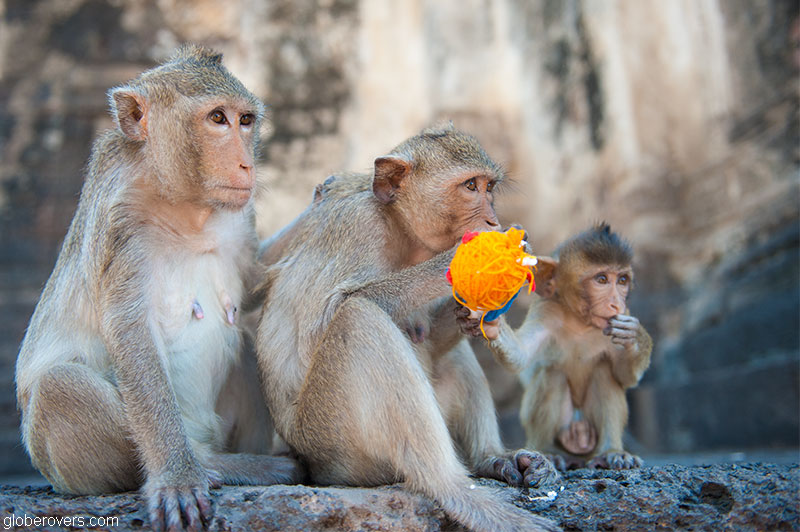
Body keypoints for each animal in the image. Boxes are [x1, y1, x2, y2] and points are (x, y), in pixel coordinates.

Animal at [14, 45, 301, 532]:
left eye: (245, 120)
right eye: (217, 118)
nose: (247, 164)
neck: (185, 207)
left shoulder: (239, 216)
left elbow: (253, 287)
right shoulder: (122, 225)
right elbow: (132, 335)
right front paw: (177, 478)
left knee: (246, 339)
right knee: (59, 384)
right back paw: (216, 466)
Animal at [255, 124, 560, 532]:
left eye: (490, 187)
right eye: (470, 186)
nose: (493, 223)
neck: (398, 227)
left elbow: (435, 336)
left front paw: (480, 315)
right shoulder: (359, 227)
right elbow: (326, 319)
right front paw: (468, 260)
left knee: (446, 356)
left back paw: (492, 457)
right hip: (332, 441)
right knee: (358, 318)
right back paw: (456, 490)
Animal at [459, 223, 652, 470]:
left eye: (622, 280)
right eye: (601, 279)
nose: (616, 303)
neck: (580, 322)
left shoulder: (622, 315)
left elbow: (627, 378)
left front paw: (634, 337)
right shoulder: (546, 311)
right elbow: (521, 356)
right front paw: (491, 323)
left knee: (603, 373)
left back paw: (611, 452)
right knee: (553, 374)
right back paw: (549, 452)